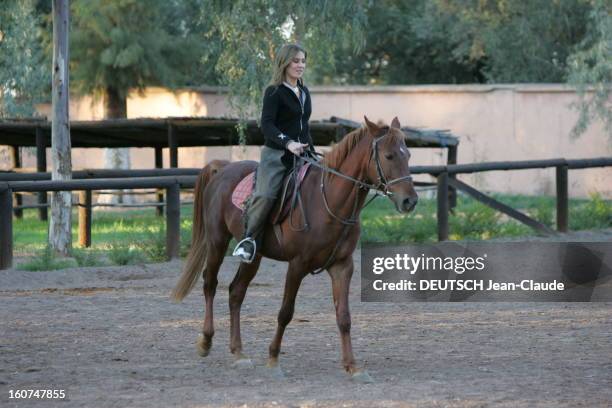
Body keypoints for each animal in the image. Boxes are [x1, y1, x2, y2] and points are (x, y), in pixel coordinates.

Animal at [175, 115, 418, 382]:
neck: (328, 201)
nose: (410, 201)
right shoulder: (297, 265)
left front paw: (353, 367)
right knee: (210, 283)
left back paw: (238, 353)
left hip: (254, 255)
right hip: (217, 241)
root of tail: (223, 168)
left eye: (407, 155)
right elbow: (285, 312)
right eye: (389, 156)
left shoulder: (343, 266)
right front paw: (273, 360)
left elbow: (344, 317)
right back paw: (206, 341)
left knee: (236, 292)